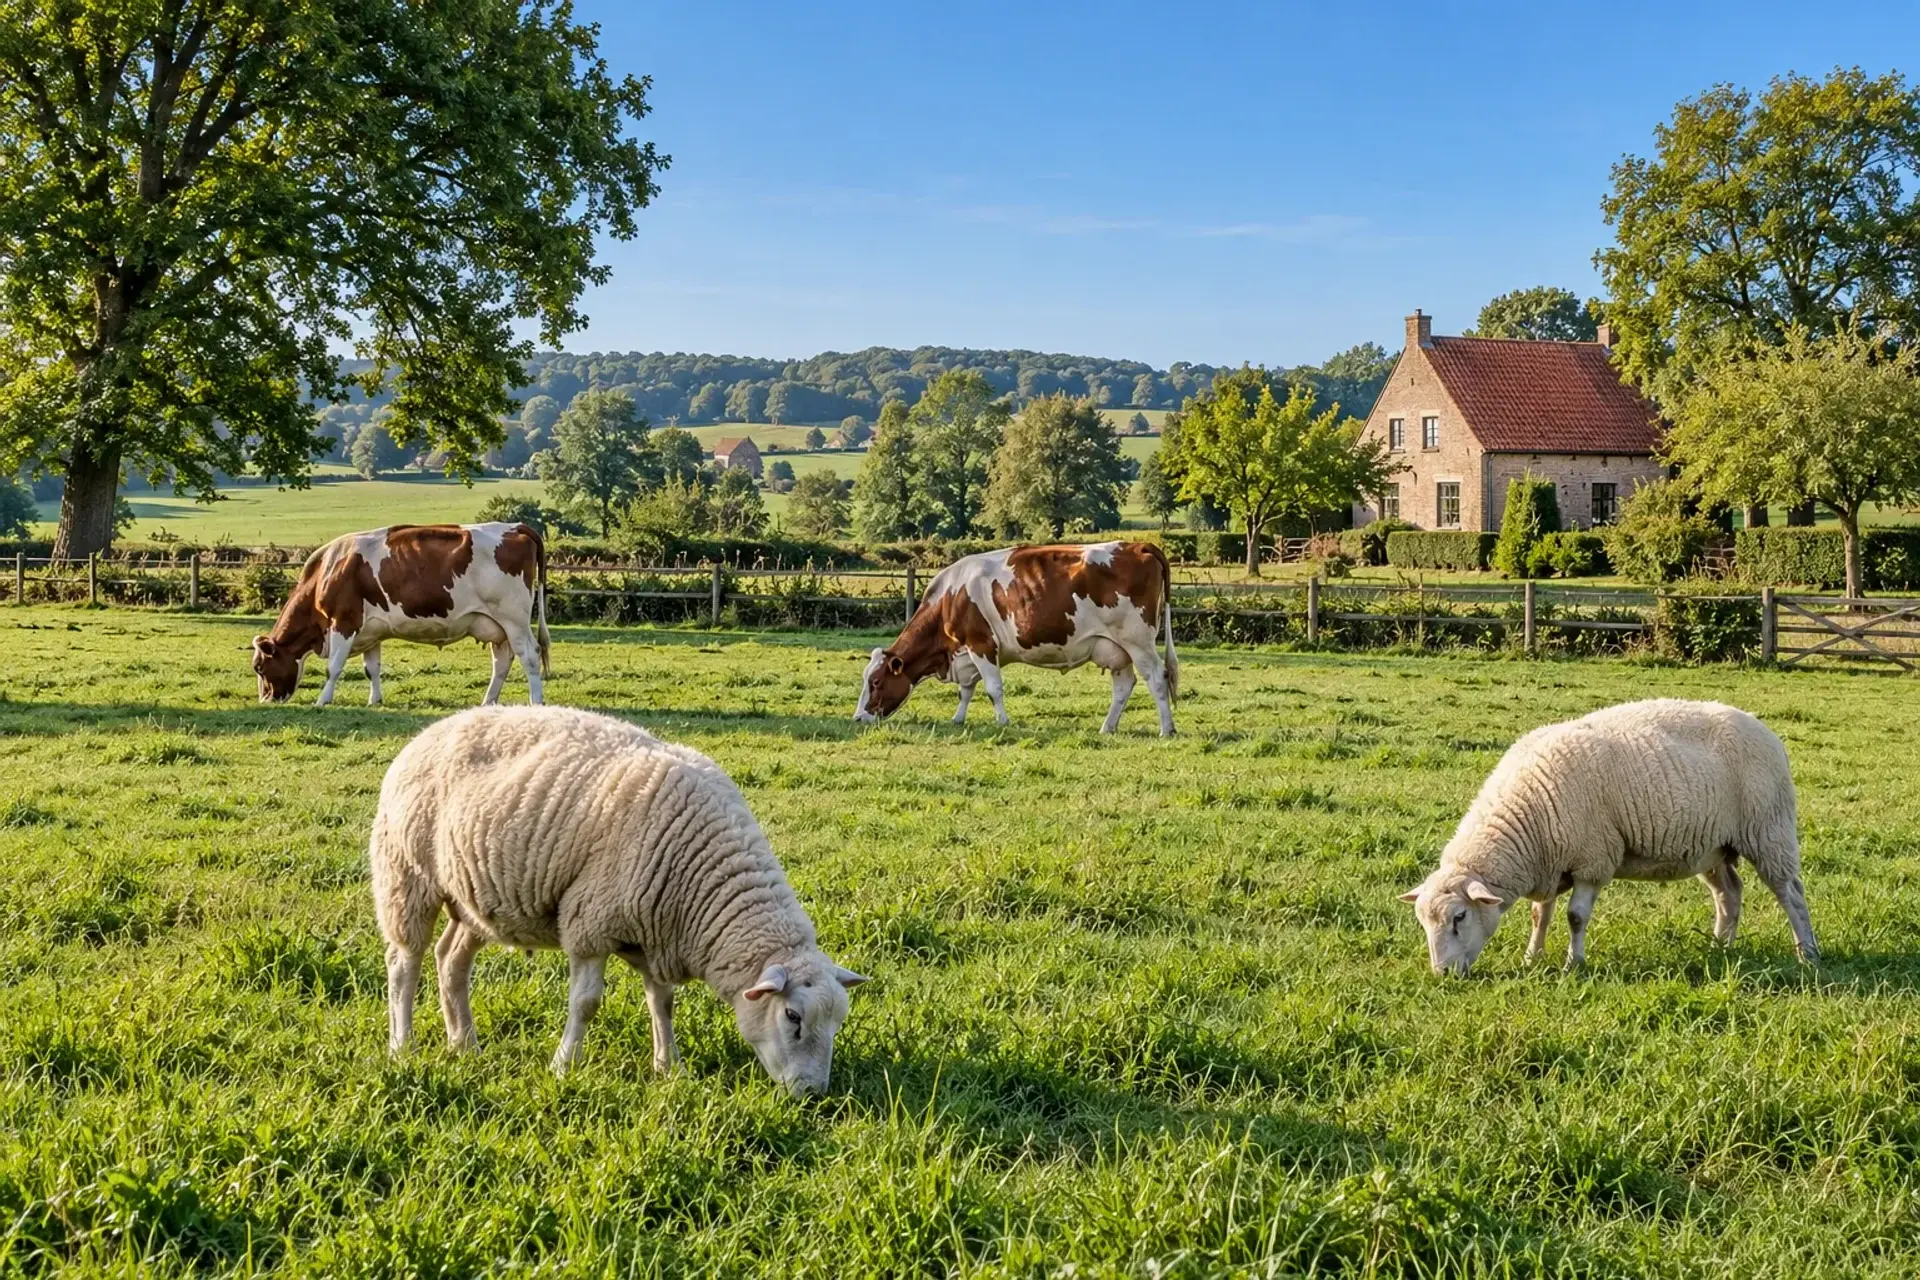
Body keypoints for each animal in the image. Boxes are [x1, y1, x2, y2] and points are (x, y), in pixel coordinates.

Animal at [248, 522, 549, 707]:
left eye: (259, 667)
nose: (266, 699)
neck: (327, 571)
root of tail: (515, 527)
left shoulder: (344, 621)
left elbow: (333, 667)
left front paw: (323, 700)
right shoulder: (371, 631)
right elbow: (372, 668)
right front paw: (374, 701)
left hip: (514, 619)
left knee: (530, 656)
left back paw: (536, 702)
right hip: (496, 626)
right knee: (502, 663)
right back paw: (487, 702)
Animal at [854, 541, 1179, 736]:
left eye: (876, 682)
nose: (858, 718)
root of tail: (1137, 545)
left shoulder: (981, 644)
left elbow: (993, 688)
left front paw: (1002, 722)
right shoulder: (966, 653)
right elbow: (966, 690)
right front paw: (958, 719)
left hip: (1138, 641)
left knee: (1157, 678)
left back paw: (1166, 729)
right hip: (1115, 648)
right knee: (1124, 686)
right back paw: (1107, 727)